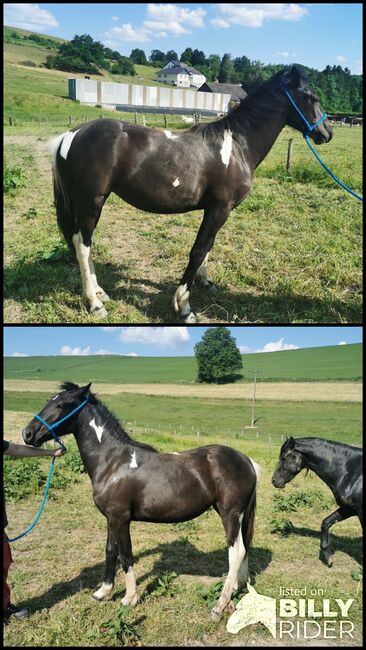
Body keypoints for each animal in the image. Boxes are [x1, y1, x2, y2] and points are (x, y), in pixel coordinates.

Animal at [21, 382, 258, 620]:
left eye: (62, 404)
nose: (27, 433)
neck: (113, 462)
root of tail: (247, 460)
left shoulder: (120, 519)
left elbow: (126, 555)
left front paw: (130, 598)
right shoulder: (111, 518)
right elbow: (110, 551)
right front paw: (103, 592)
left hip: (230, 514)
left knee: (236, 553)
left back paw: (219, 606)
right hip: (235, 515)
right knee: (244, 549)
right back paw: (236, 589)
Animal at [48, 65, 332, 318]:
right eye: (312, 97)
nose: (327, 132)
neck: (236, 146)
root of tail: (71, 135)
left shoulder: (214, 211)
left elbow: (207, 248)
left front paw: (205, 282)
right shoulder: (220, 209)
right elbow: (198, 251)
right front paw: (184, 307)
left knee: (84, 243)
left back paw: (100, 292)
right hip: (90, 203)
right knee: (82, 244)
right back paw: (94, 304)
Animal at [272, 436, 364, 568]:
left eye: (284, 456)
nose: (274, 481)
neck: (352, 472)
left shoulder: (360, 513)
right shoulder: (348, 509)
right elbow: (326, 523)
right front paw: (328, 558)